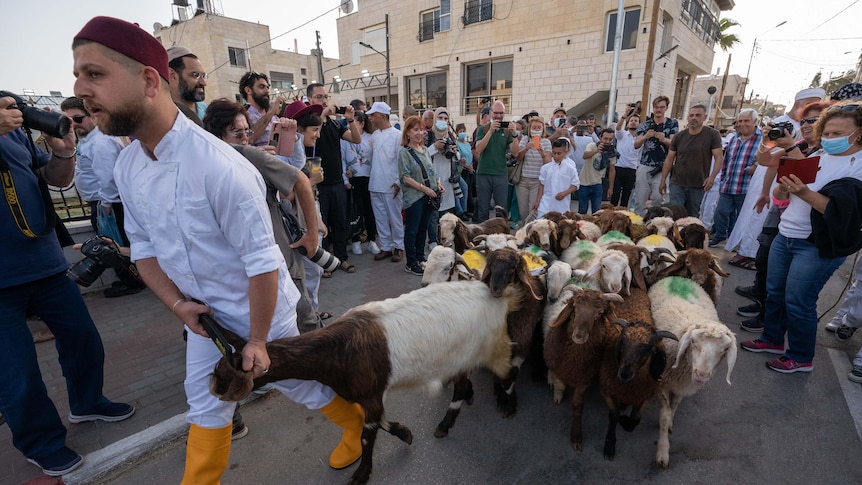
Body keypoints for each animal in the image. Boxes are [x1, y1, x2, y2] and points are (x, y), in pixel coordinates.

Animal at [652, 276, 740, 468]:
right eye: (693, 342)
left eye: (724, 350)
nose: (701, 375)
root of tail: (679, 277)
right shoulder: (660, 381)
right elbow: (664, 416)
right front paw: (663, 451)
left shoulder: (682, 385)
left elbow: (674, 406)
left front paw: (670, 423)